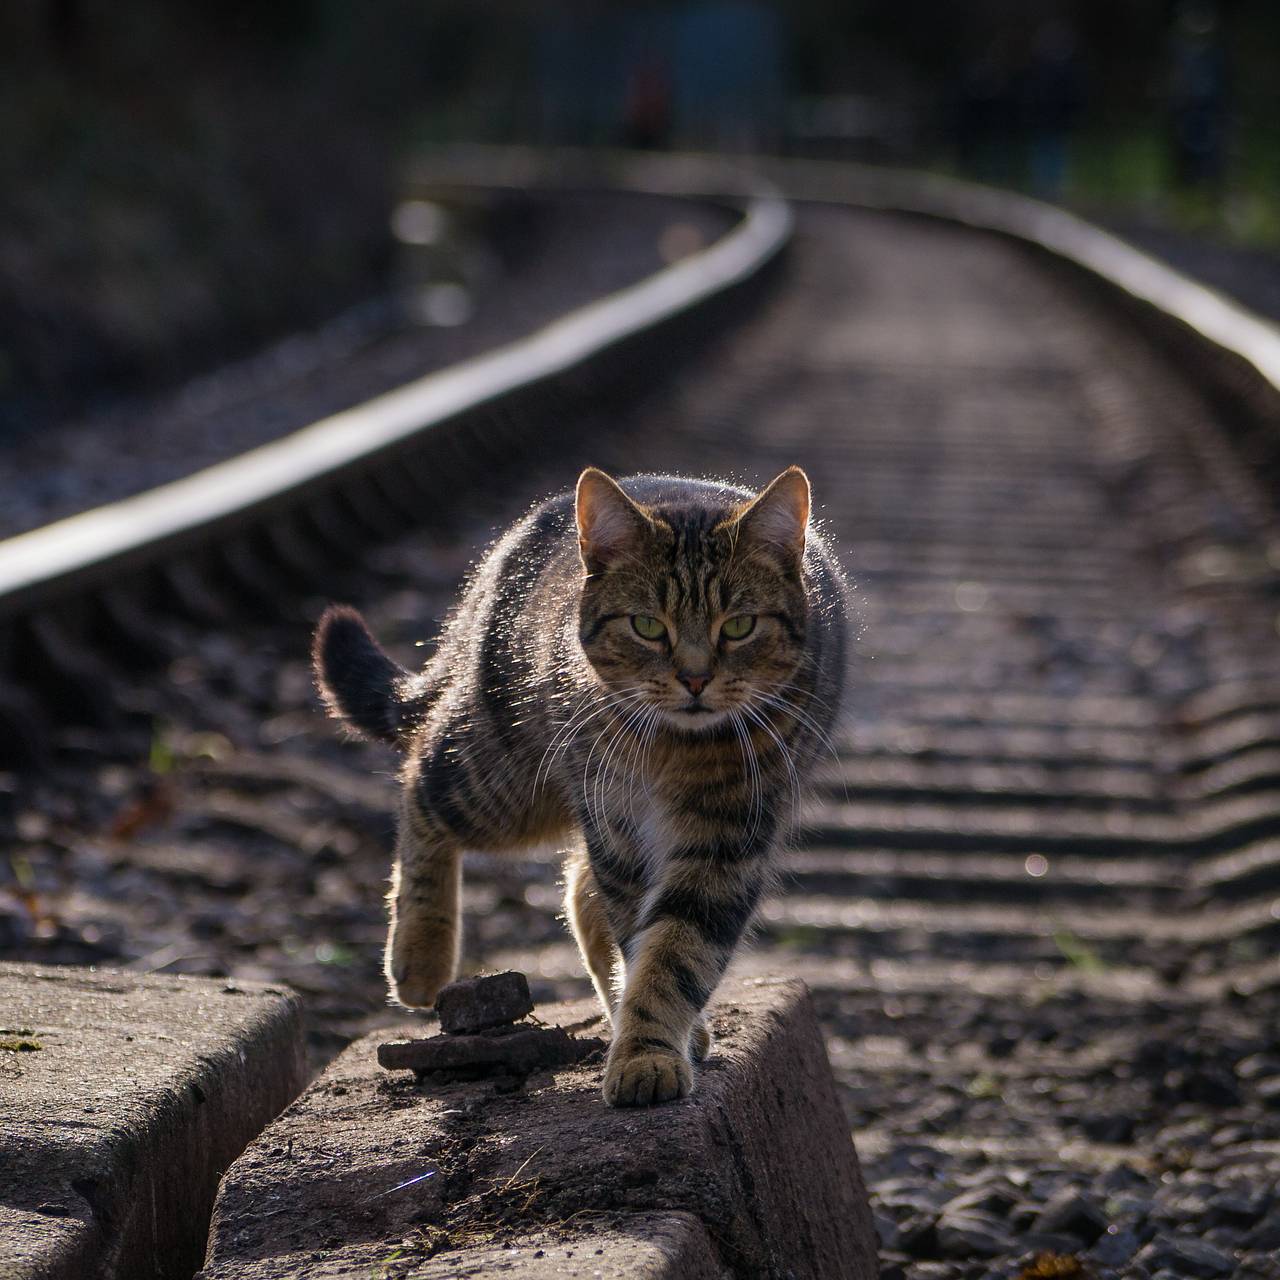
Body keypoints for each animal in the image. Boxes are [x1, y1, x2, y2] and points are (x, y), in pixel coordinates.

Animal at [313, 465, 844, 1105]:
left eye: (739, 626)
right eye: (647, 625)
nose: (694, 679)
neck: (675, 748)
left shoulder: (727, 841)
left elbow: (674, 952)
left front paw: (646, 1049)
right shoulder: (617, 825)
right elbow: (648, 942)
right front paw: (648, 1050)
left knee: (580, 894)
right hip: (507, 780)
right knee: (421, 782)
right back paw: (420, 957)